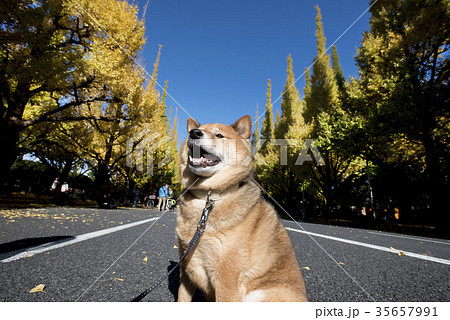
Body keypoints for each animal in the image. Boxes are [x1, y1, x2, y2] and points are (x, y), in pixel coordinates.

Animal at [178, 115, 308, 302]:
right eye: (196, 131)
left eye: (219, 135)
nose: (194, 133)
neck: (209, 196)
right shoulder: (185, 268)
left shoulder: (227, 279)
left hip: (258, 294)